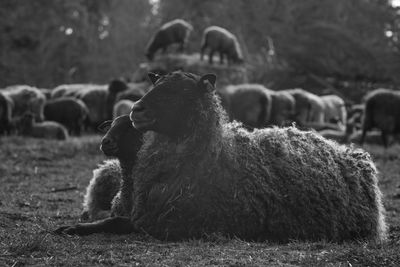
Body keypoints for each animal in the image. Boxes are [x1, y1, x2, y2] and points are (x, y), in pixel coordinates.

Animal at [54, 71, 386, 245]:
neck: (215, 156)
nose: (138, 109)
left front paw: (72, 229)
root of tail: (354, 155)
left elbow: (114, 222)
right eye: (156, 85)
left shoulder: (170, 225)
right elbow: (111, 217)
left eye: (180, 92)